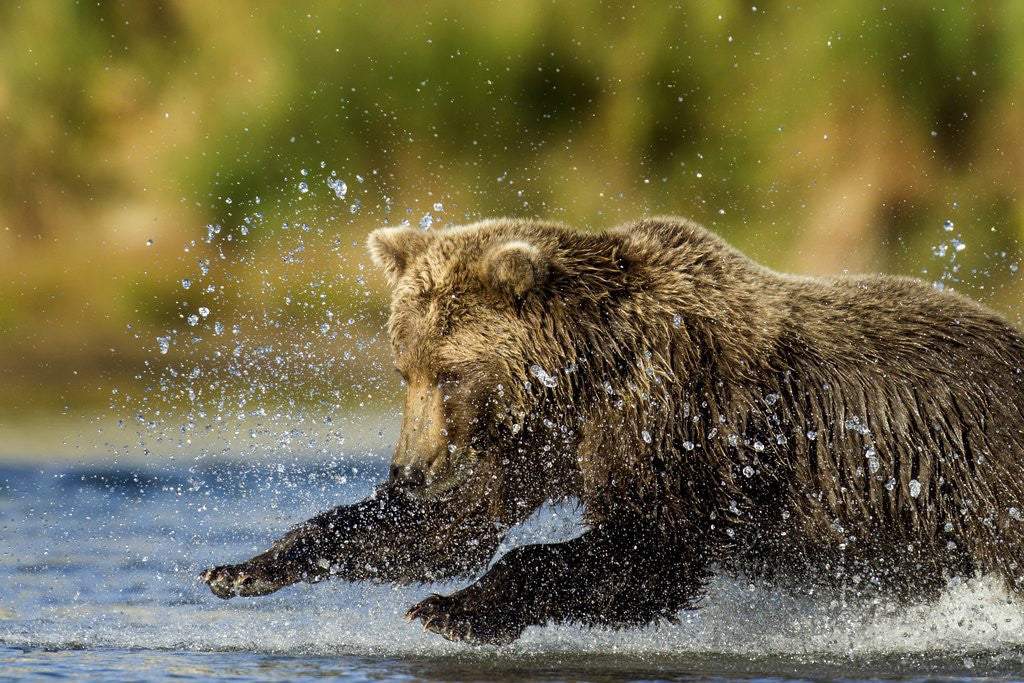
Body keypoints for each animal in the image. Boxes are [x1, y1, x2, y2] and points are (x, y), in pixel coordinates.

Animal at [202, 216, 1024, 645]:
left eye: (450, 373)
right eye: (404, 367)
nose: (408, 469)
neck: (579, 378)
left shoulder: (671, 414)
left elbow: (647, 548)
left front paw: (454, 609)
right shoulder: (530, 442)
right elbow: (445, 527)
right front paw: (245, 567)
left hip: (983, 474)